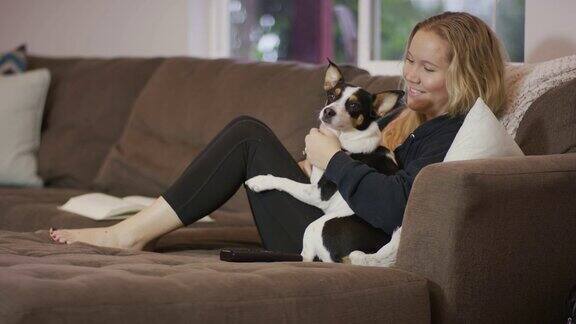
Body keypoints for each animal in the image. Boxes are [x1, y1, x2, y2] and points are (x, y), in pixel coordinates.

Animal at [245, 62, 402, 264]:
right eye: (332, 96)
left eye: (354, 105)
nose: (328, 111)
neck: (343, 138)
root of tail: (369, 257)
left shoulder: (317, 193)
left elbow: (285, 181)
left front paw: (261, 181)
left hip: (316, 226)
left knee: (306, 257)